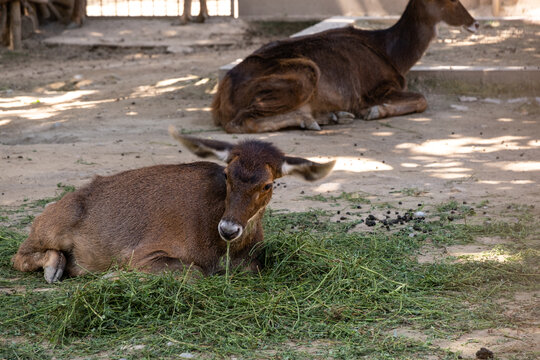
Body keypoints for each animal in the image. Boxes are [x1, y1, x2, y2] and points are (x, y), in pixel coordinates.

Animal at [11, 128, 334, 282]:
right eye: (226, 174)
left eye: (267, 184)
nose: (229, 229)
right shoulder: (143, 252)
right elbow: (194, 273)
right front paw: (115, 275)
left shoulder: (252, 261)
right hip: (52, 226)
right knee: (18, 255)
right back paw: (55, 268)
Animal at [213, 0, 478, 133]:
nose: (474, 23)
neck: (395, 57)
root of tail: (219, 100)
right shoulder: (373, 89)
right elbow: (423, 99)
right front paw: (373, 111)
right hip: (303, 72)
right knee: (240, 122)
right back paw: (312, 120)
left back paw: (332, 116)